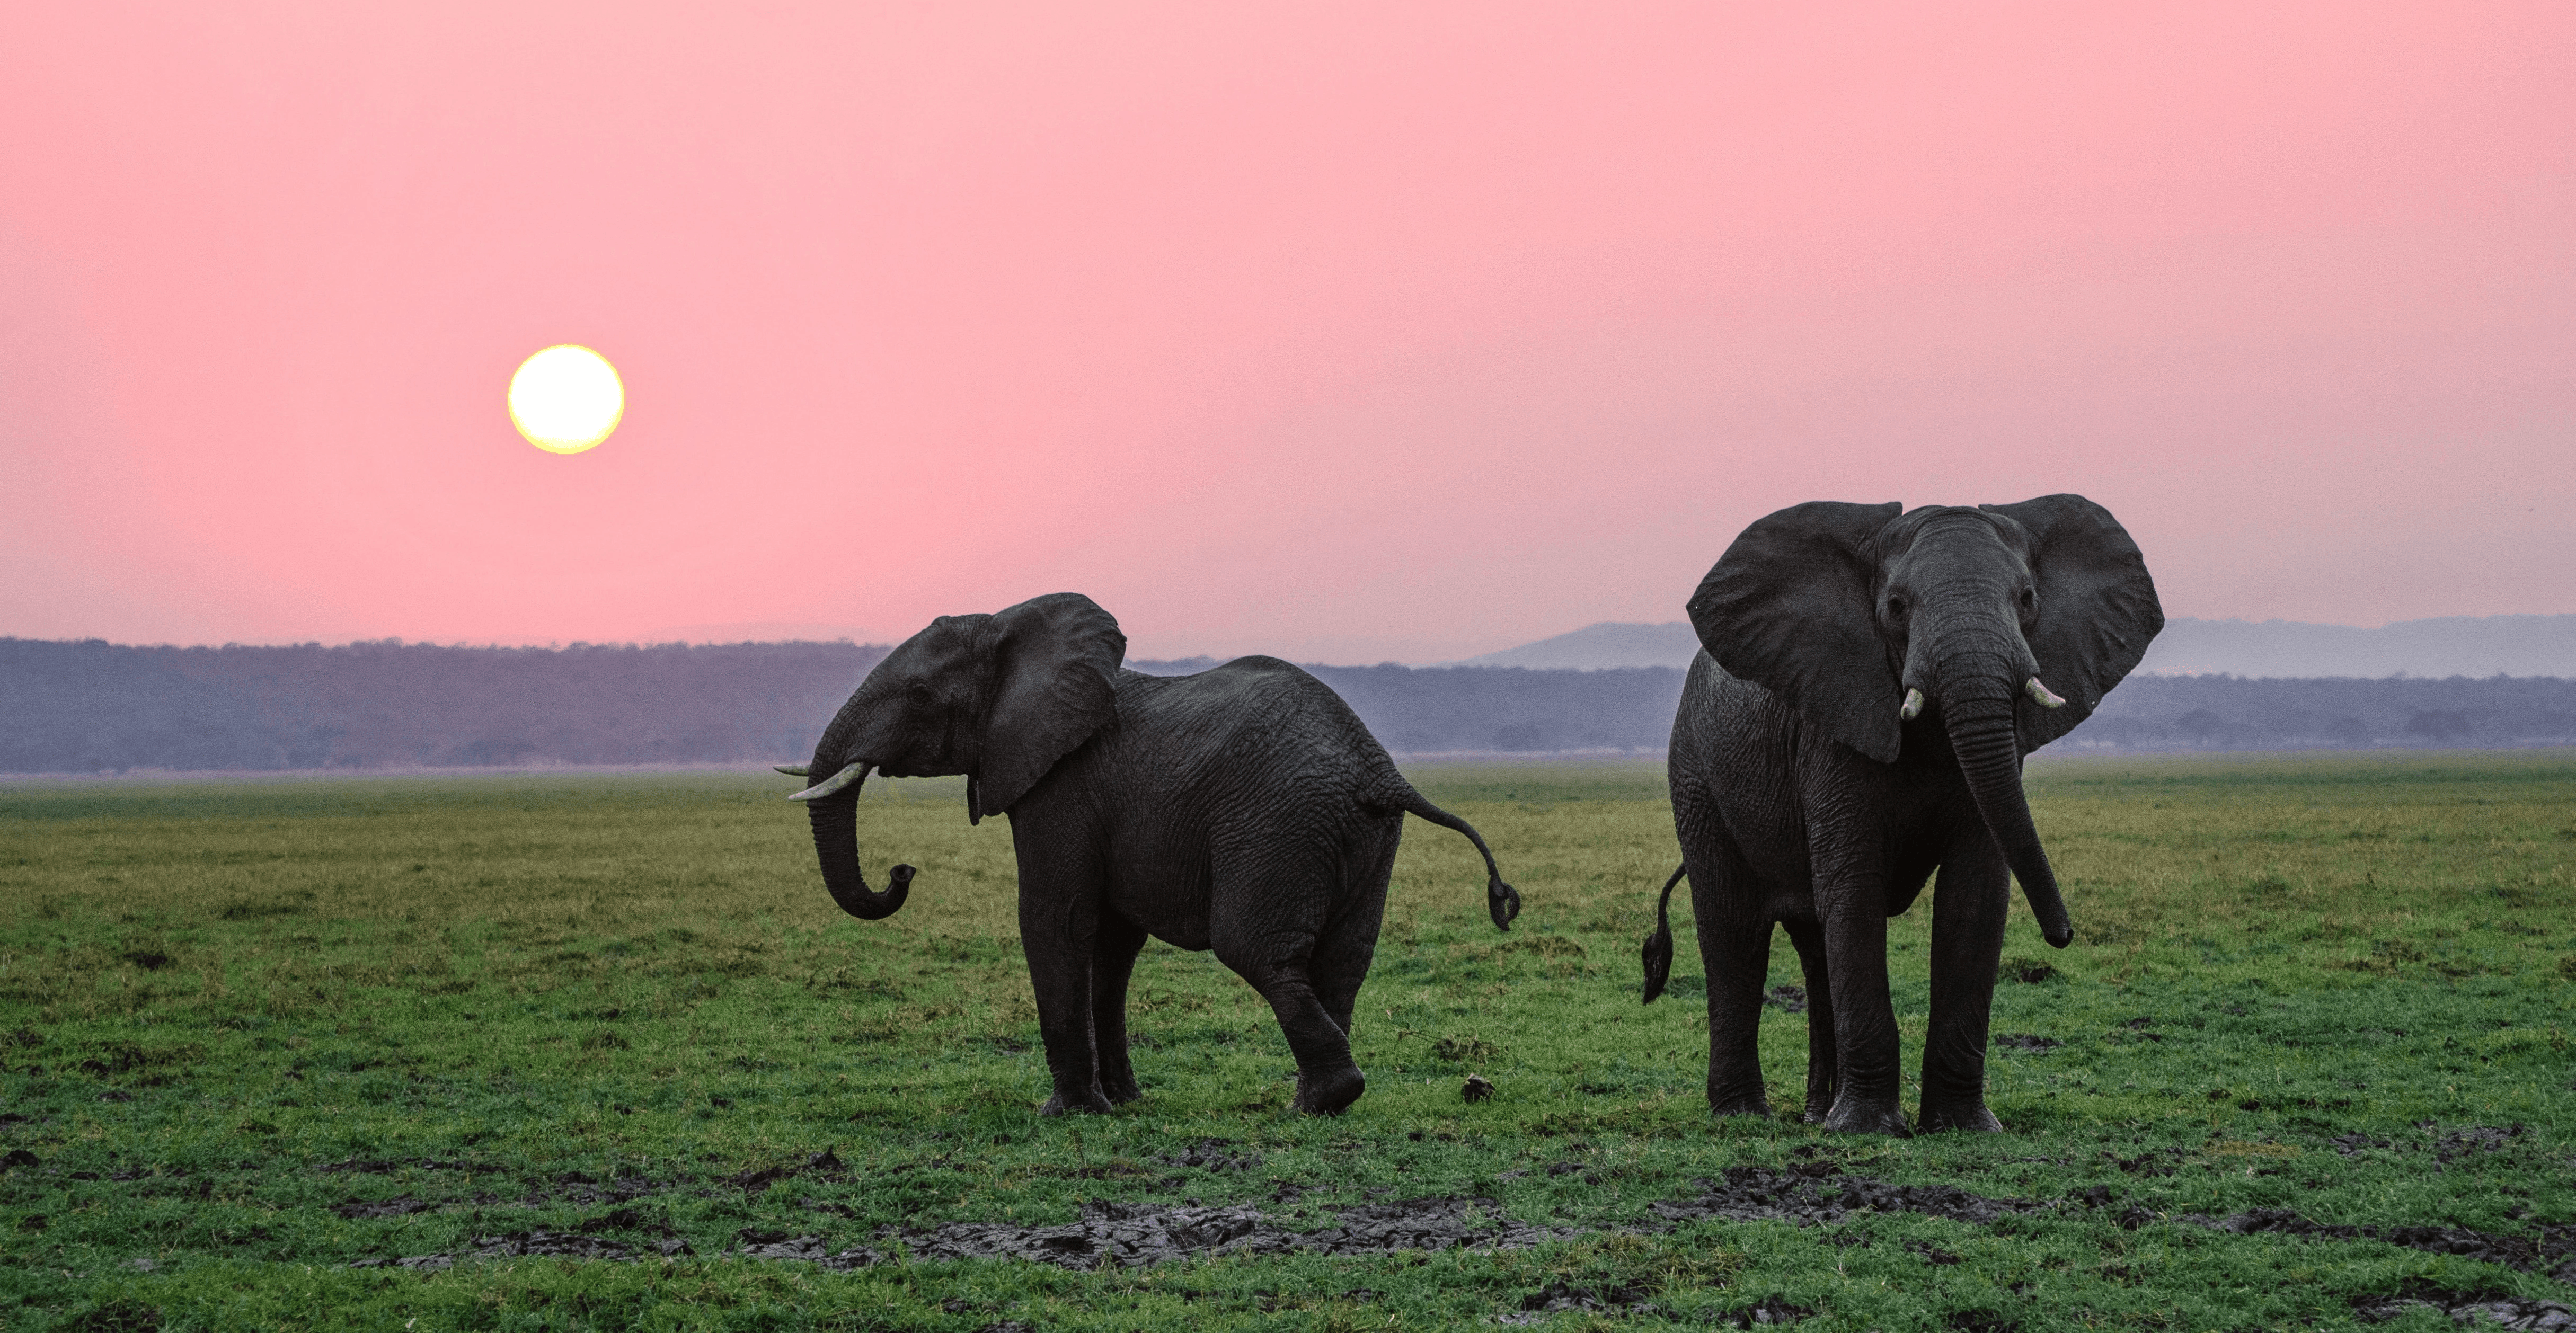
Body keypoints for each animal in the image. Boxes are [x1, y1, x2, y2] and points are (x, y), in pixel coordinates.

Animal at [780, 592, 1521, 1117]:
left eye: (918, 695)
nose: (901, 870)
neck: (1011, 626)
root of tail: (1378, 768)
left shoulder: (1061, 785)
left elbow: (1054, 919)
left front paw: (1067, 1112)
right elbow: (1111, 944)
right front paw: (1125, 1103)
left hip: (1278, 824)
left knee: (1255, 949)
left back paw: (1318, 1101)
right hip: (1362, 836)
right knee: (1342, 962)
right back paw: (1316, 1102)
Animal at [1639, 495, 2160, 1135]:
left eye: (2027, 599)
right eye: (1894, 607)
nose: (2062, 935)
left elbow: (1974, 896)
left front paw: (1963, 1127)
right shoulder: (1833, 723)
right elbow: (1855, 890)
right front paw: (1866, 1129)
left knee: (1814, 944)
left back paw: (1816, 1114)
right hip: (1696, 777)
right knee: (1735, 931)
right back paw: (1745, 1116)